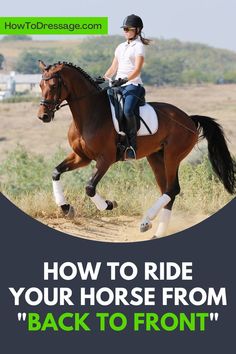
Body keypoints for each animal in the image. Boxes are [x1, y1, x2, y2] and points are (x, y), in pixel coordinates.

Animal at [37, 60, 236, 238]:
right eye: (40, 85)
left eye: (53, 85)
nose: (43, 116)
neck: (90, 114)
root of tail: (189, 119)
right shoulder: (81, 157)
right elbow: (56, 172)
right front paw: (66, 207)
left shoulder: (105, 159)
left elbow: (89, 188)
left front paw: (109, 205)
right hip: (156, 158)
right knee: (167, 190)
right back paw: (154, 230)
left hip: (172, 156)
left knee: (173, 189)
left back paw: (147, 220)